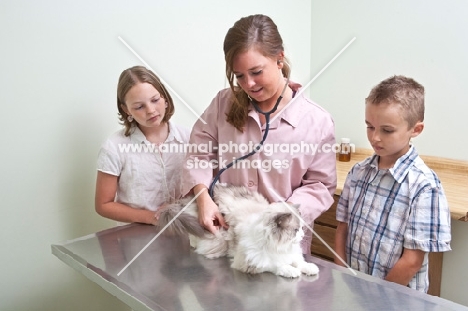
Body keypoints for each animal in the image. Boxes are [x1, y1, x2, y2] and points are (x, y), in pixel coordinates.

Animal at [157, 184, 318, 280]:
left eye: (302, 228)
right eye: (296, 230)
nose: (302, 235)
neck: (278, 246)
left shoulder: (292, 254)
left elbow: (299, 262)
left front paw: (310, 268)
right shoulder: (250, 262)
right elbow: (275, 264)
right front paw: (291, 271)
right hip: (211, 234)